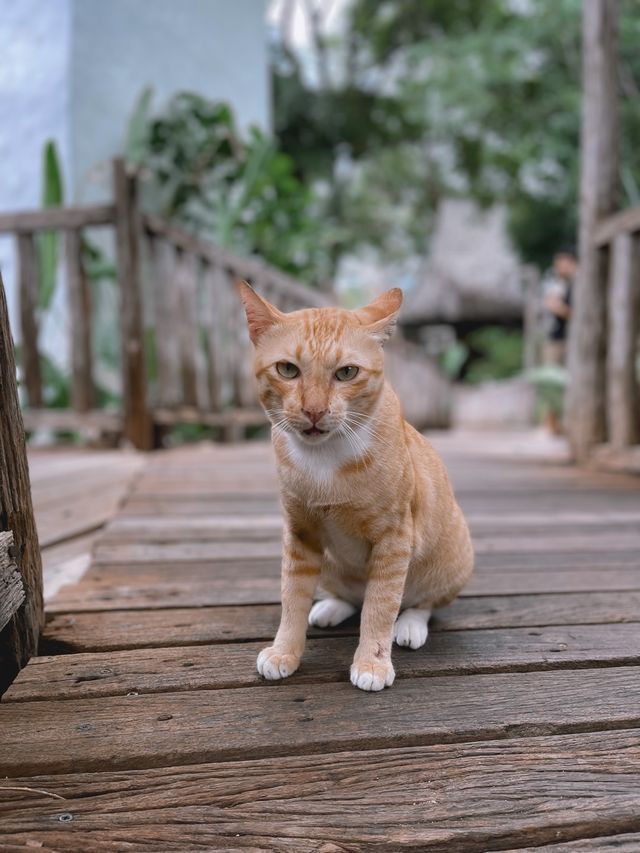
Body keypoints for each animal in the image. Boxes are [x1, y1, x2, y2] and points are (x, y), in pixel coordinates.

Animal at [238, 282, 472, 688]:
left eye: (346, 372)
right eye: (287, 369)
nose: (314, 411)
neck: (324, 460)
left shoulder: (394, 540)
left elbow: (380, 607)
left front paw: (372, 663)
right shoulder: (299, 533)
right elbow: (292, 596)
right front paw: (285, 652)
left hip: (453, 558)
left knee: (418, 602)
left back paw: (410, 626)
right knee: (352, 597)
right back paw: (331, 607)